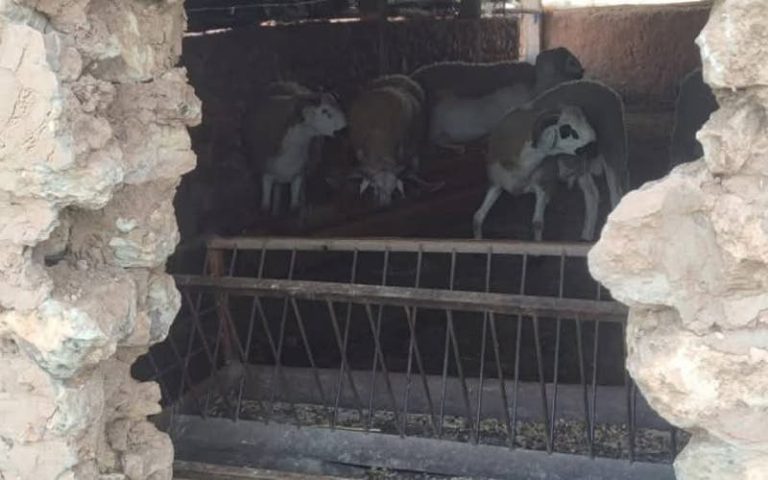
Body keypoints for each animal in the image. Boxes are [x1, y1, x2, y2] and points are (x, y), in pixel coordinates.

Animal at [242, 81, 346, 215]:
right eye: (324, 110)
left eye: (337, 105)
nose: (344, 130)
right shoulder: (266, 174)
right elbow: (265, 207)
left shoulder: (298, 175)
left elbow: (294, 207)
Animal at [473, 80, 628, 241]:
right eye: (566, 130)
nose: (593, 146)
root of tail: (604, 88)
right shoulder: (496, 184)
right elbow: (478, 217)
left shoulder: (545, 185)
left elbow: (537, 223)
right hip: (581, 167)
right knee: (592, 195)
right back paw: (585, 236)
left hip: (614, 153)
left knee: (616, 195)